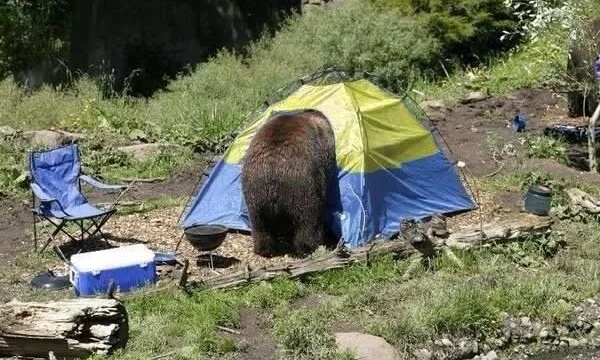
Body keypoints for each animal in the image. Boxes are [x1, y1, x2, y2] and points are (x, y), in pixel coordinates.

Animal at [243, 108, 338, 258]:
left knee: (260, 224)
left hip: (254, 191)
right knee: (308, 219)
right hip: (303, 187)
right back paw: (308, 247)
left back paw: (264, 249)